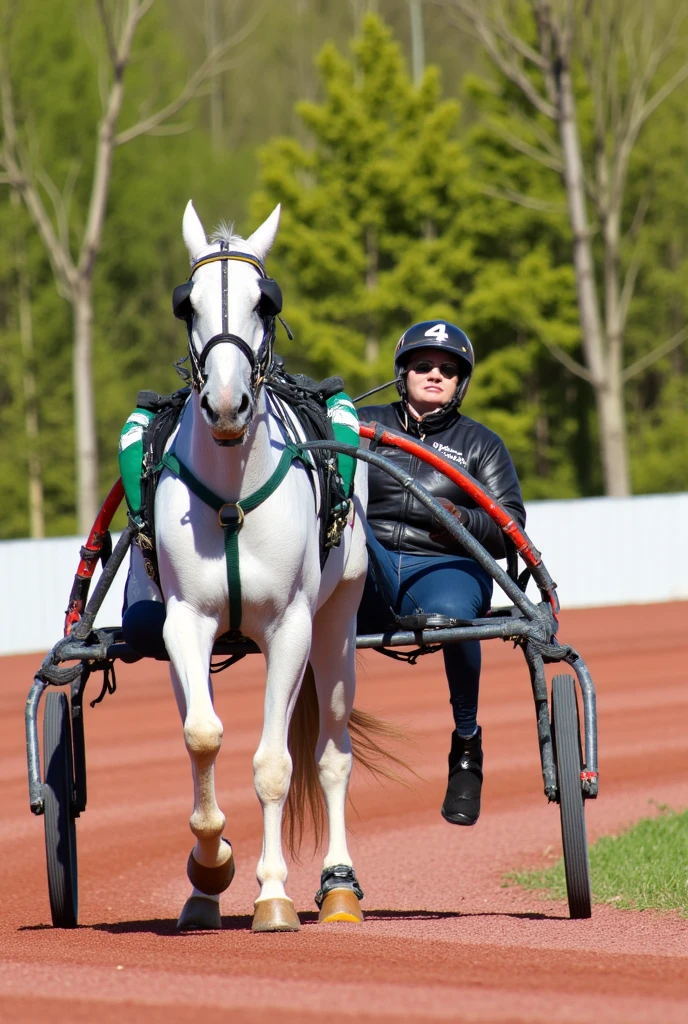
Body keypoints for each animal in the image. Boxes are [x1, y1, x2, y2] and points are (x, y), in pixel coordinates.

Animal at [144, 201, 383, 932]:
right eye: (187, 303)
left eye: (264, 300)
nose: (226, 405)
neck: (231, 496)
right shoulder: (185, 622)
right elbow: (201, 736)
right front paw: (211, 861)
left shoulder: (291, 627)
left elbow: (277, 765)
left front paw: (272, 892)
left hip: (336, 624)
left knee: (331, 755)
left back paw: (338, 887)